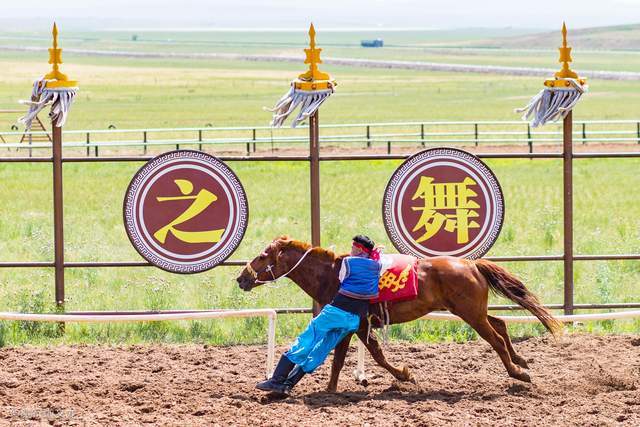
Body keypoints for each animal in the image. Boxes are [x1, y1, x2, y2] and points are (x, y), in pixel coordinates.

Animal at [235, 237, 560, 394]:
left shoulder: (355, 324)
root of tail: (471, 264)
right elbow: (347, 358)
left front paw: (403, 374)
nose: (242, 278)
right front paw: (330, 388)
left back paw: (518, 372)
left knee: (496, 339)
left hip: (471, 315)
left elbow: (373, 356)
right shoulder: (353, 326)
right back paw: (521, 360)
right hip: (473, 312)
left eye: (263, 255)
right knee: (501, 325)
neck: (334, 274)